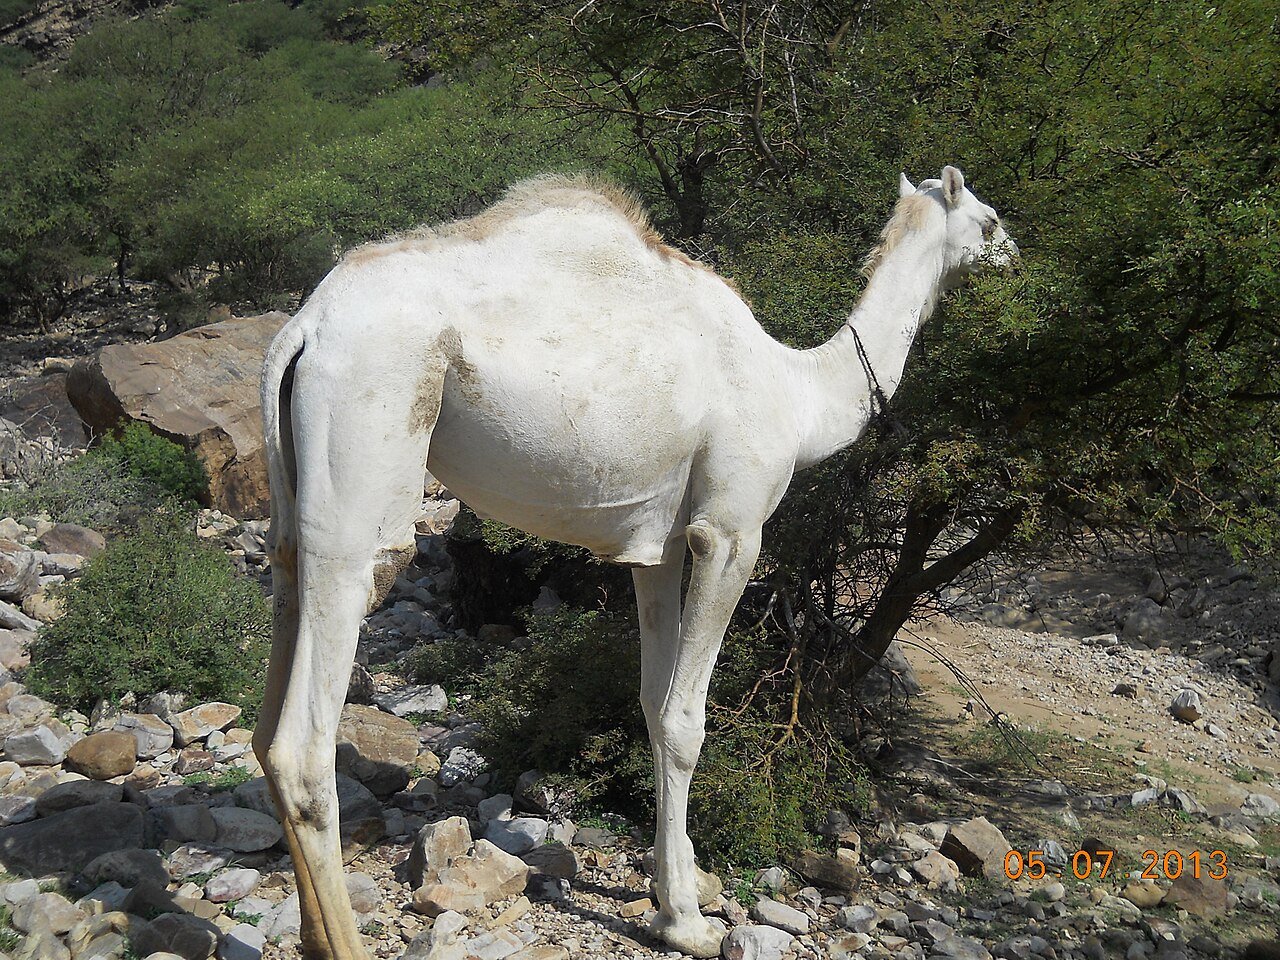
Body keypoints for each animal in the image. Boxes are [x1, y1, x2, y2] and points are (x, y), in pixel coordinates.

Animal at [255, 165, 1015, 960]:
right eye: (989, 221)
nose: (1016, 256)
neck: (800, 396)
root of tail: (302, 330)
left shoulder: (661, 547)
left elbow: (653, 703)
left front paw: (674, 892)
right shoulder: (730, 529)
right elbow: (686, 721)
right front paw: (687, 921)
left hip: (294, 507)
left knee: (269, 704)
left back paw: (312, 933)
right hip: (367, 448)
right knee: (307, 738)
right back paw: (342, 939)